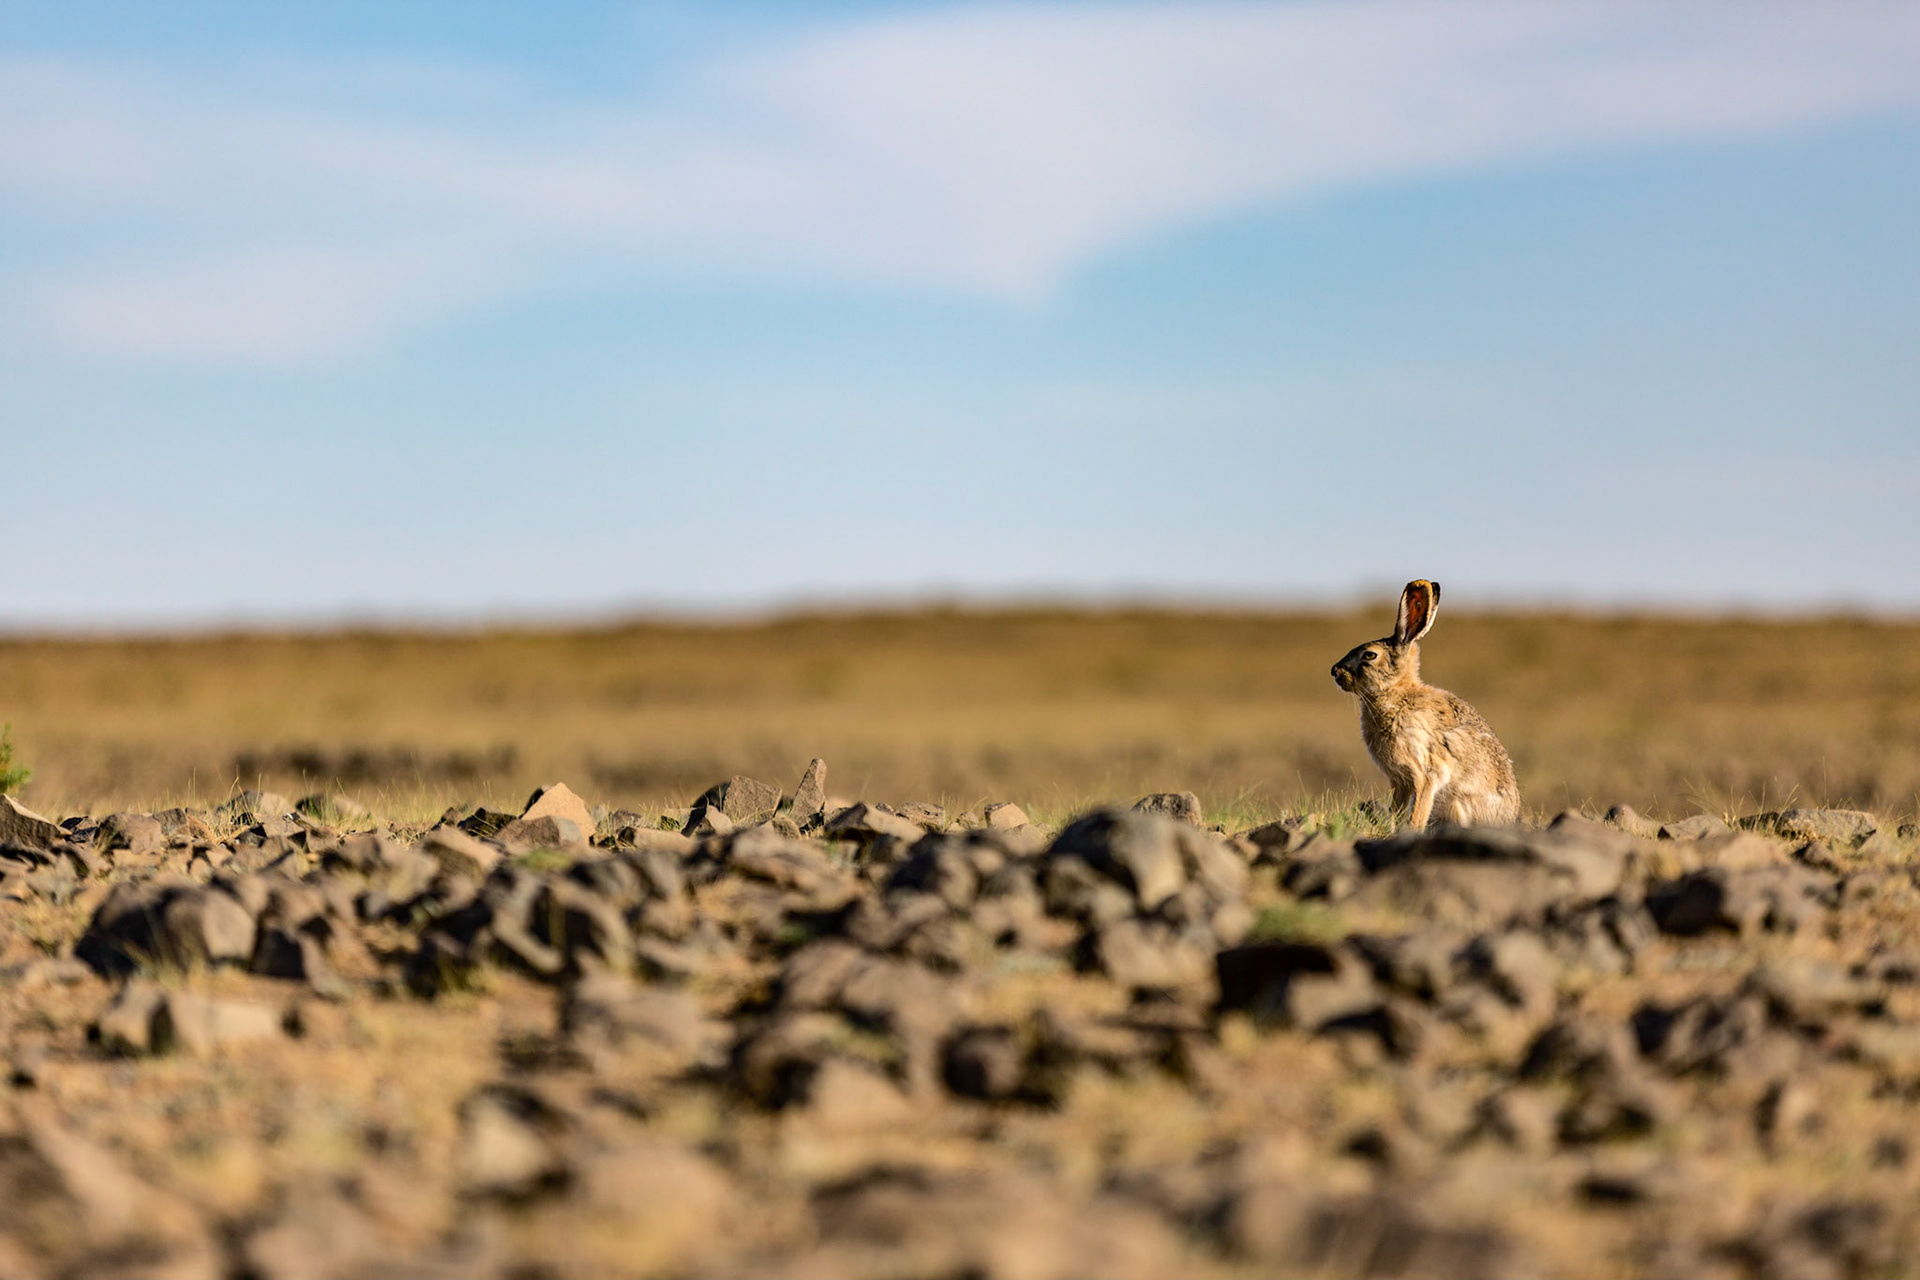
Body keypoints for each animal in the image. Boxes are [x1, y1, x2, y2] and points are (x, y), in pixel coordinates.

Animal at [1331, 579, 1520, 828]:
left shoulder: (1425, 773)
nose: (1334, 671)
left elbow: (1417, 813)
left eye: (1369, 655)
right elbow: (1398, 810)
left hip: (1454, 804)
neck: (1396, 695)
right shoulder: (1399, 781)